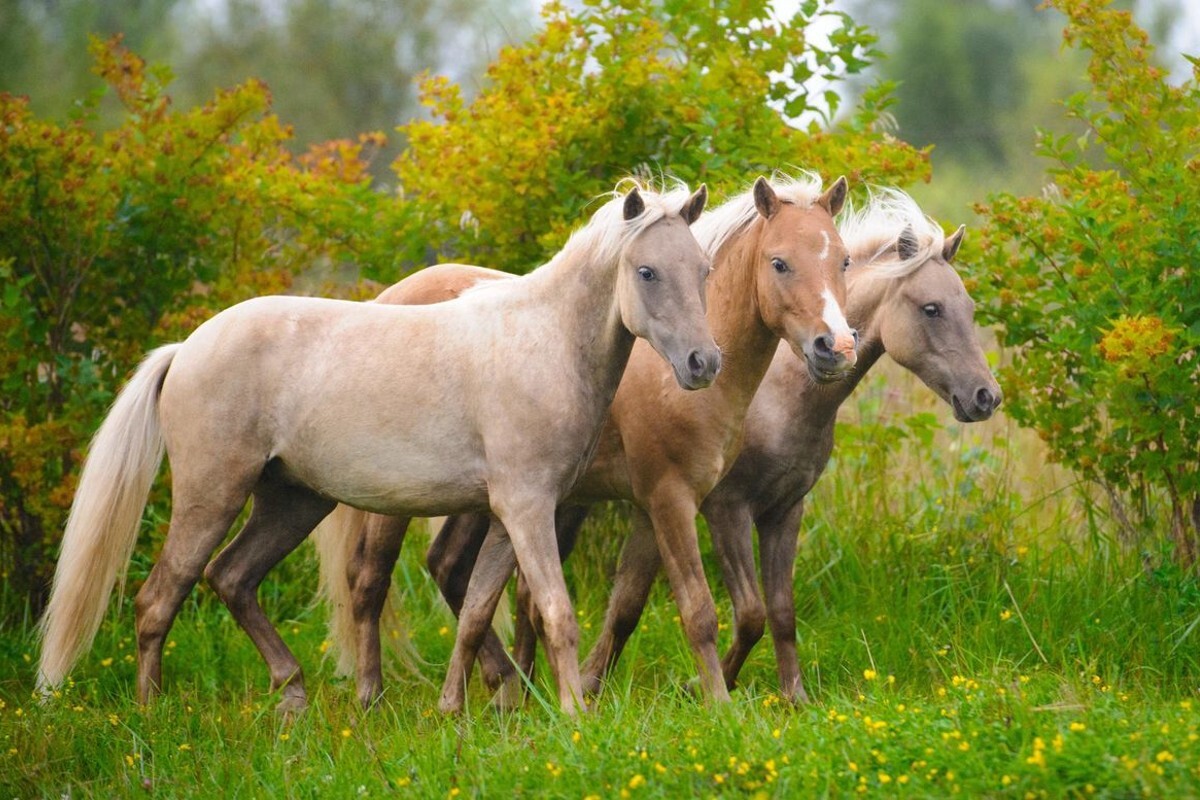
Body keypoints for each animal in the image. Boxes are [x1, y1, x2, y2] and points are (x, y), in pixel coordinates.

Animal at [37, 181, 715, 714]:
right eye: (647, 272)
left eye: (705, 272)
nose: (703, 364)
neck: (541, 342)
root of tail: (186, 350)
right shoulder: (527, 510)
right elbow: (555, 611)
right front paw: (574, 714)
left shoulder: (508, 517)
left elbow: (476, 610)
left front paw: (459, 709)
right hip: (213, 496)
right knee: (160, 599)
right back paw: (151, 715)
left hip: (293, 502)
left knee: (231, 578)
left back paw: (295, 695)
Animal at [314, 172, 859, 710]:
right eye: (779, 263)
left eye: (844, 260)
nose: (834, 347)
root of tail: (389, 298)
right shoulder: (682, 501)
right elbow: (703, 610)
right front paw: (719, 706)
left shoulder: (653, 508)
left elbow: (630, 605)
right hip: (398, 497)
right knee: (370, 578)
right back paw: (374, 694)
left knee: (451, 571)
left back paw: (503, 685)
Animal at [530, 185, 998, 700]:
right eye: (931, 309)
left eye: (844, 262)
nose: (986, 396)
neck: (775, 392)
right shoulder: (721, 507)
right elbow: (748, 613)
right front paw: (702, 686)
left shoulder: (781, 509)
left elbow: (775, 611)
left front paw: (793, 696)